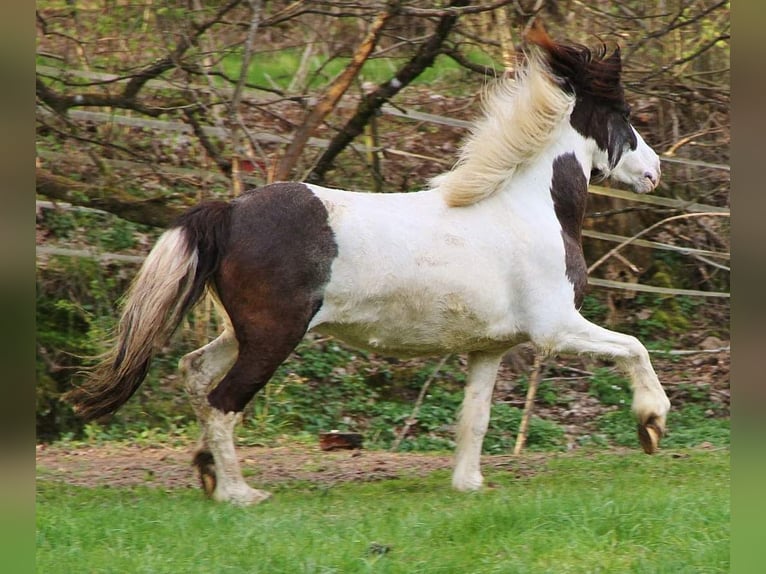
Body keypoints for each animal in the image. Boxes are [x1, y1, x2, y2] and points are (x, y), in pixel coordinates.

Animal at [67, 24, 672, 506]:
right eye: (625, 117)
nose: (655, 172)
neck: (526, 207)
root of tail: (230, 211)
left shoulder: (489, 347)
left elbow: (474, 418)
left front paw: (470, 486)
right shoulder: (556, 327)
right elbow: (635, 349)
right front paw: (651, 424)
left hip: (244, 332)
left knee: (195, 373)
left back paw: (209, 473)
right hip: (273, 337)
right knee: (223, 401)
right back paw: (241, 494)